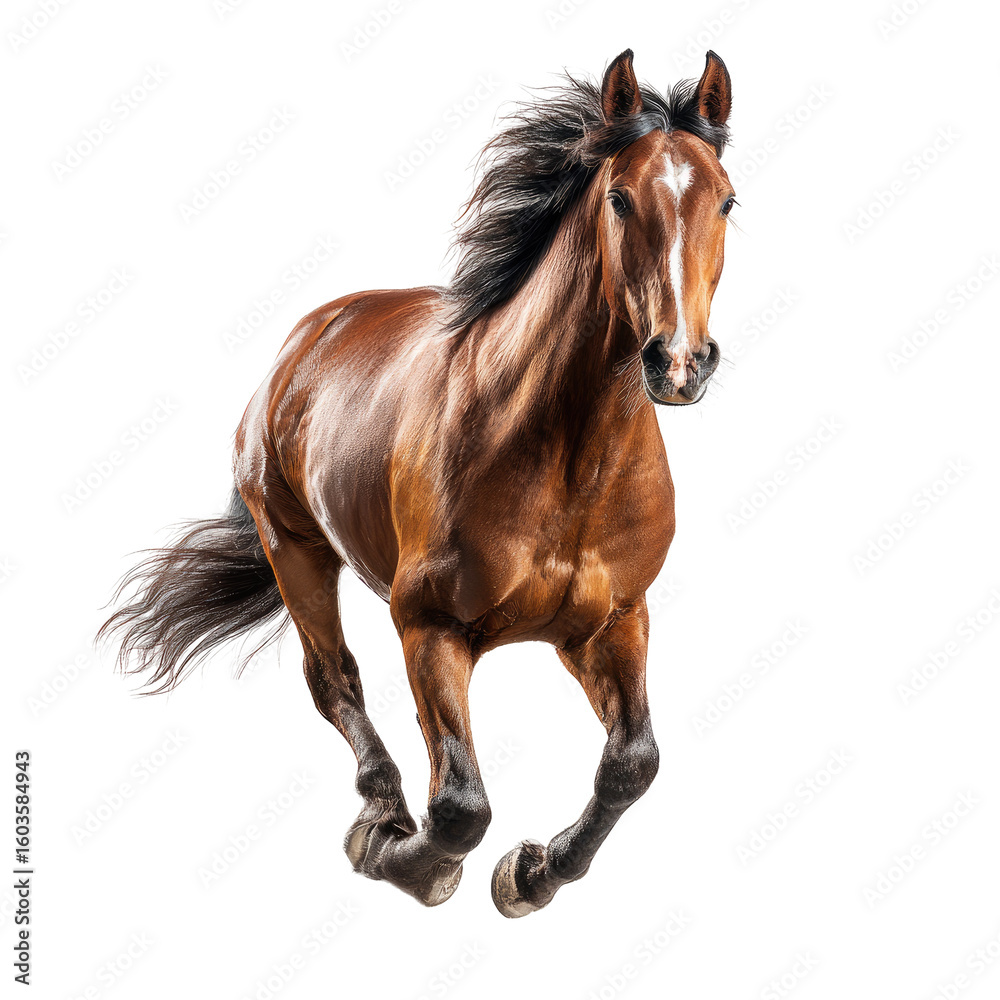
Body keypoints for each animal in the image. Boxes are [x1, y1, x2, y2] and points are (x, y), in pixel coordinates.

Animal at [101, 48, 736, 916]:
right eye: (619, 198)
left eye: (727, 202)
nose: (677, 363)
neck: (565, 462)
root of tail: (310, 337)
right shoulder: (429, 625)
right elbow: (460, 806)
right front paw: (409, 861)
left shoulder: (612, 622)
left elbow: (632, 764)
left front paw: (531, 874)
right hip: (294, 548)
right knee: (333, 681)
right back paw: (378, 815)